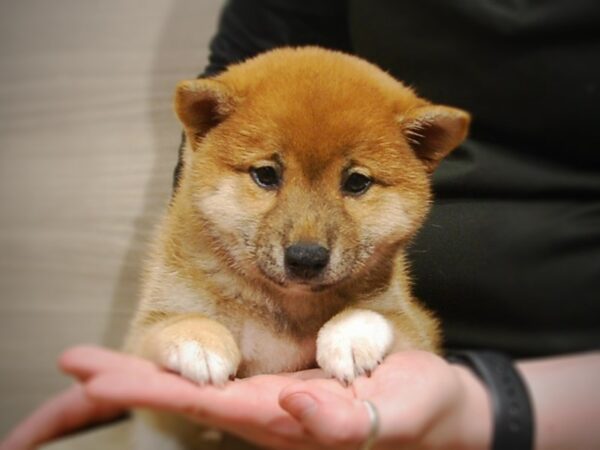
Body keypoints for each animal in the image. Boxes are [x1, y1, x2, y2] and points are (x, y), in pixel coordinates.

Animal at [125, 45, 468, 446]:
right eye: (266, 175)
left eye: (356, 182)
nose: (306, 257)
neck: (285, 306)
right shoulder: (146, 329)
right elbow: (174, 323)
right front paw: (198, 340)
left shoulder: (415, 327)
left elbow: (379, 315)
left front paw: (349, 336)